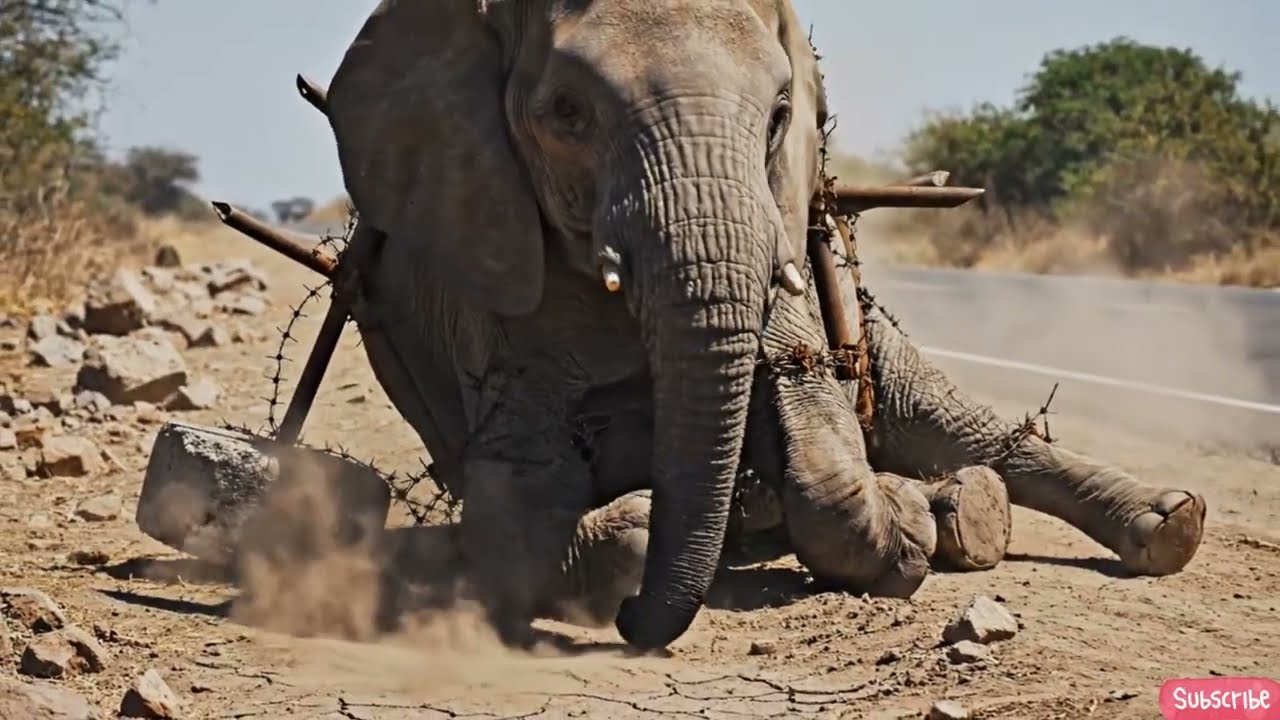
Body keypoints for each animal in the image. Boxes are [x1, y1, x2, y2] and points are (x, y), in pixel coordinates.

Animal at [322, 0, 1207, 651]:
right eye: (567, 115)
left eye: (782, 114)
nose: (631, 623)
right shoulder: (480, 256)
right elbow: (511, 504)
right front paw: (633, 532)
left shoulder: (781, 225)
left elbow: (821, 442)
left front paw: (901, 527)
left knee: (955, 425)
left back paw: (1148, 522)